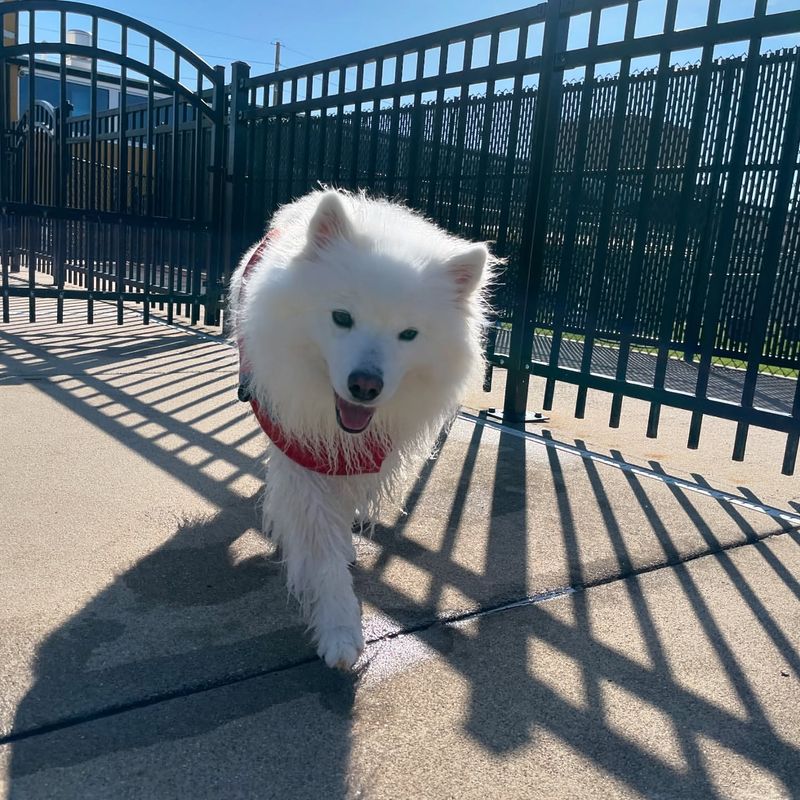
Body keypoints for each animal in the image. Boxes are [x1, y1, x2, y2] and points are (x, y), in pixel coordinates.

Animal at [225, 189, 496, 668]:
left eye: (409, 334)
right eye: (341, 317)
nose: (365, 385)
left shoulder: (362, 453)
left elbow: (341, 510)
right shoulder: (299, 445)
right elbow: (321, 546)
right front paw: (339, 630)